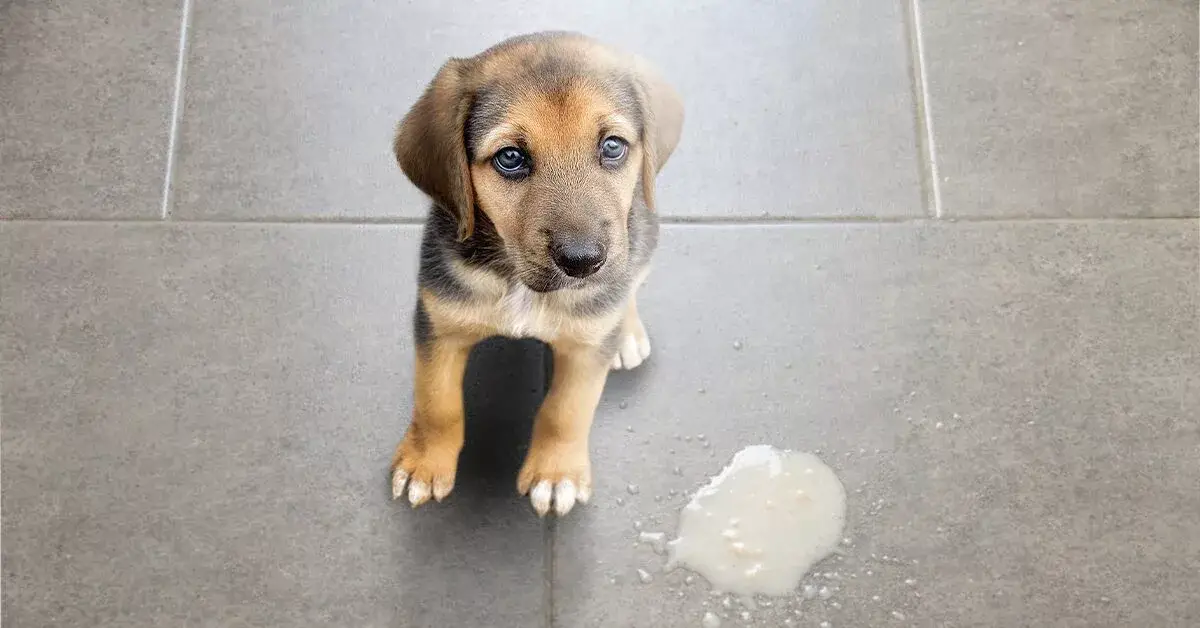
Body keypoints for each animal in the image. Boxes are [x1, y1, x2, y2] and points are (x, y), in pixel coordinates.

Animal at [386, 31, 681, 518]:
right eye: (510, 157)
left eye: (613, 146)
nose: (583, 261)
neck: (519, 283)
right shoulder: (438, 324)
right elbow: (436, 403)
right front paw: (425, 463)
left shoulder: (586, 351)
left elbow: (566, 410)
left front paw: (556, 474)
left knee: (630, 283)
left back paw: (628, 333)